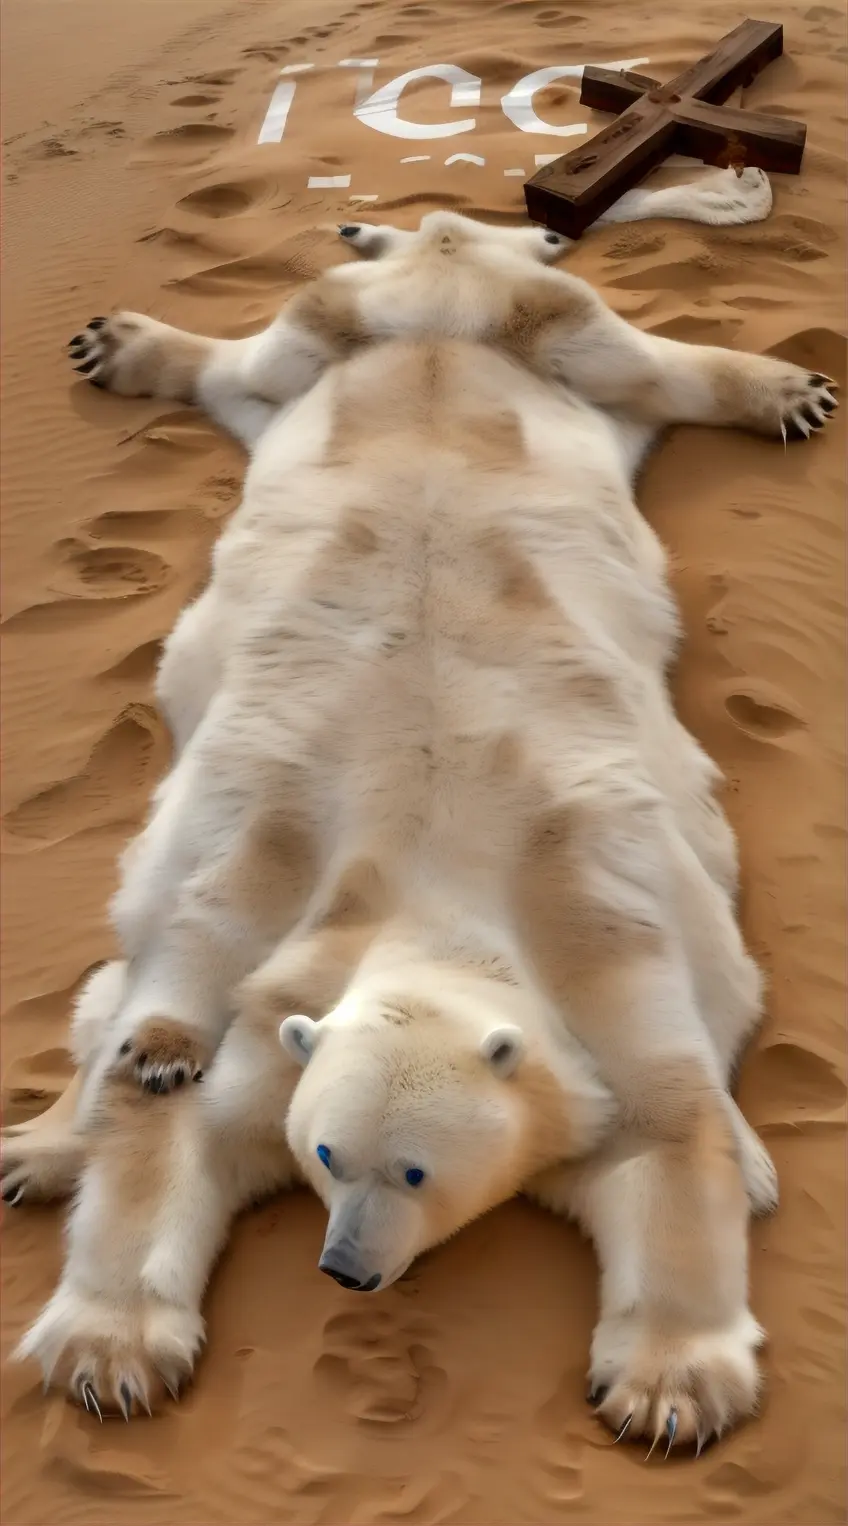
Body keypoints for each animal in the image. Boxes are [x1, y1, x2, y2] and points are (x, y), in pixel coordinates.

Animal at [1, 170, 835, 1452]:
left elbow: (670, 1134)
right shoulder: (278, 941)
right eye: (326, 1153)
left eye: (414, 1174)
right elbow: (168, 1124)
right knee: (259, 360)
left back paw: (780, 387)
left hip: (546, 330)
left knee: (637, 361)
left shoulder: (598, 933)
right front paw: (112, 1350)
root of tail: (444, 263)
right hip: (350, 330)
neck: (438, 886)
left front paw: (668, 1384)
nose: (344, 1268)